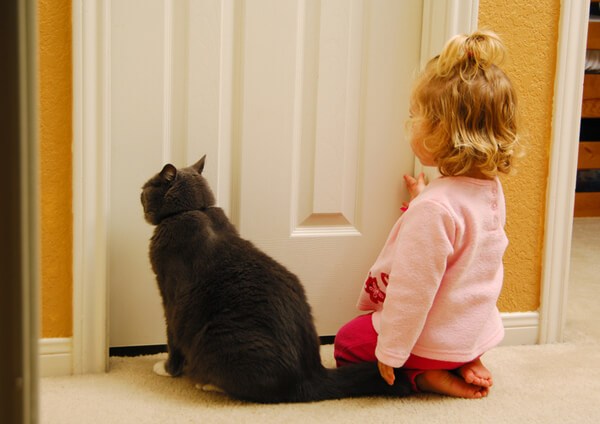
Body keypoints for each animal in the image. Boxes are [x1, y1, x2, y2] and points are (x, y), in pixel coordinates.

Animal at [140, 155, 411, 403]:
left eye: (145, 189)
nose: (139, 193)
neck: (195, 210)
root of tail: (311, 375)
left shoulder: (170, 297)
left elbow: (172, 335)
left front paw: (167, 369)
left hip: (219, 338)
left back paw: (209, 384)